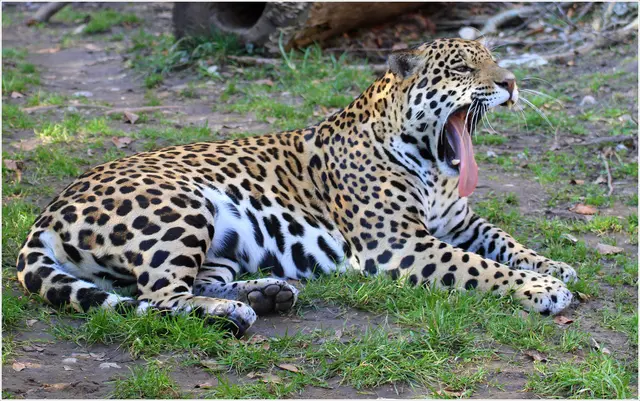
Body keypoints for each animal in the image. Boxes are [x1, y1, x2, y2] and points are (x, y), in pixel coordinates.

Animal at [16, 38, 577, 338]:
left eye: (493, 57)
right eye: (462, 67)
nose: (510, 82)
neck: (433, 162)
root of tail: (48, 211)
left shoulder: (459, 221)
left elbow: (503, 241)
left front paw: (554, 265)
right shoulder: (398, 245)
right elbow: (479, 266)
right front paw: (543, 289)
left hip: (221, 242)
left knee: (191, 281)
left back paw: (269, 293)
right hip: (181, 206)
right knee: (159, 297)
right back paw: (235, 311)